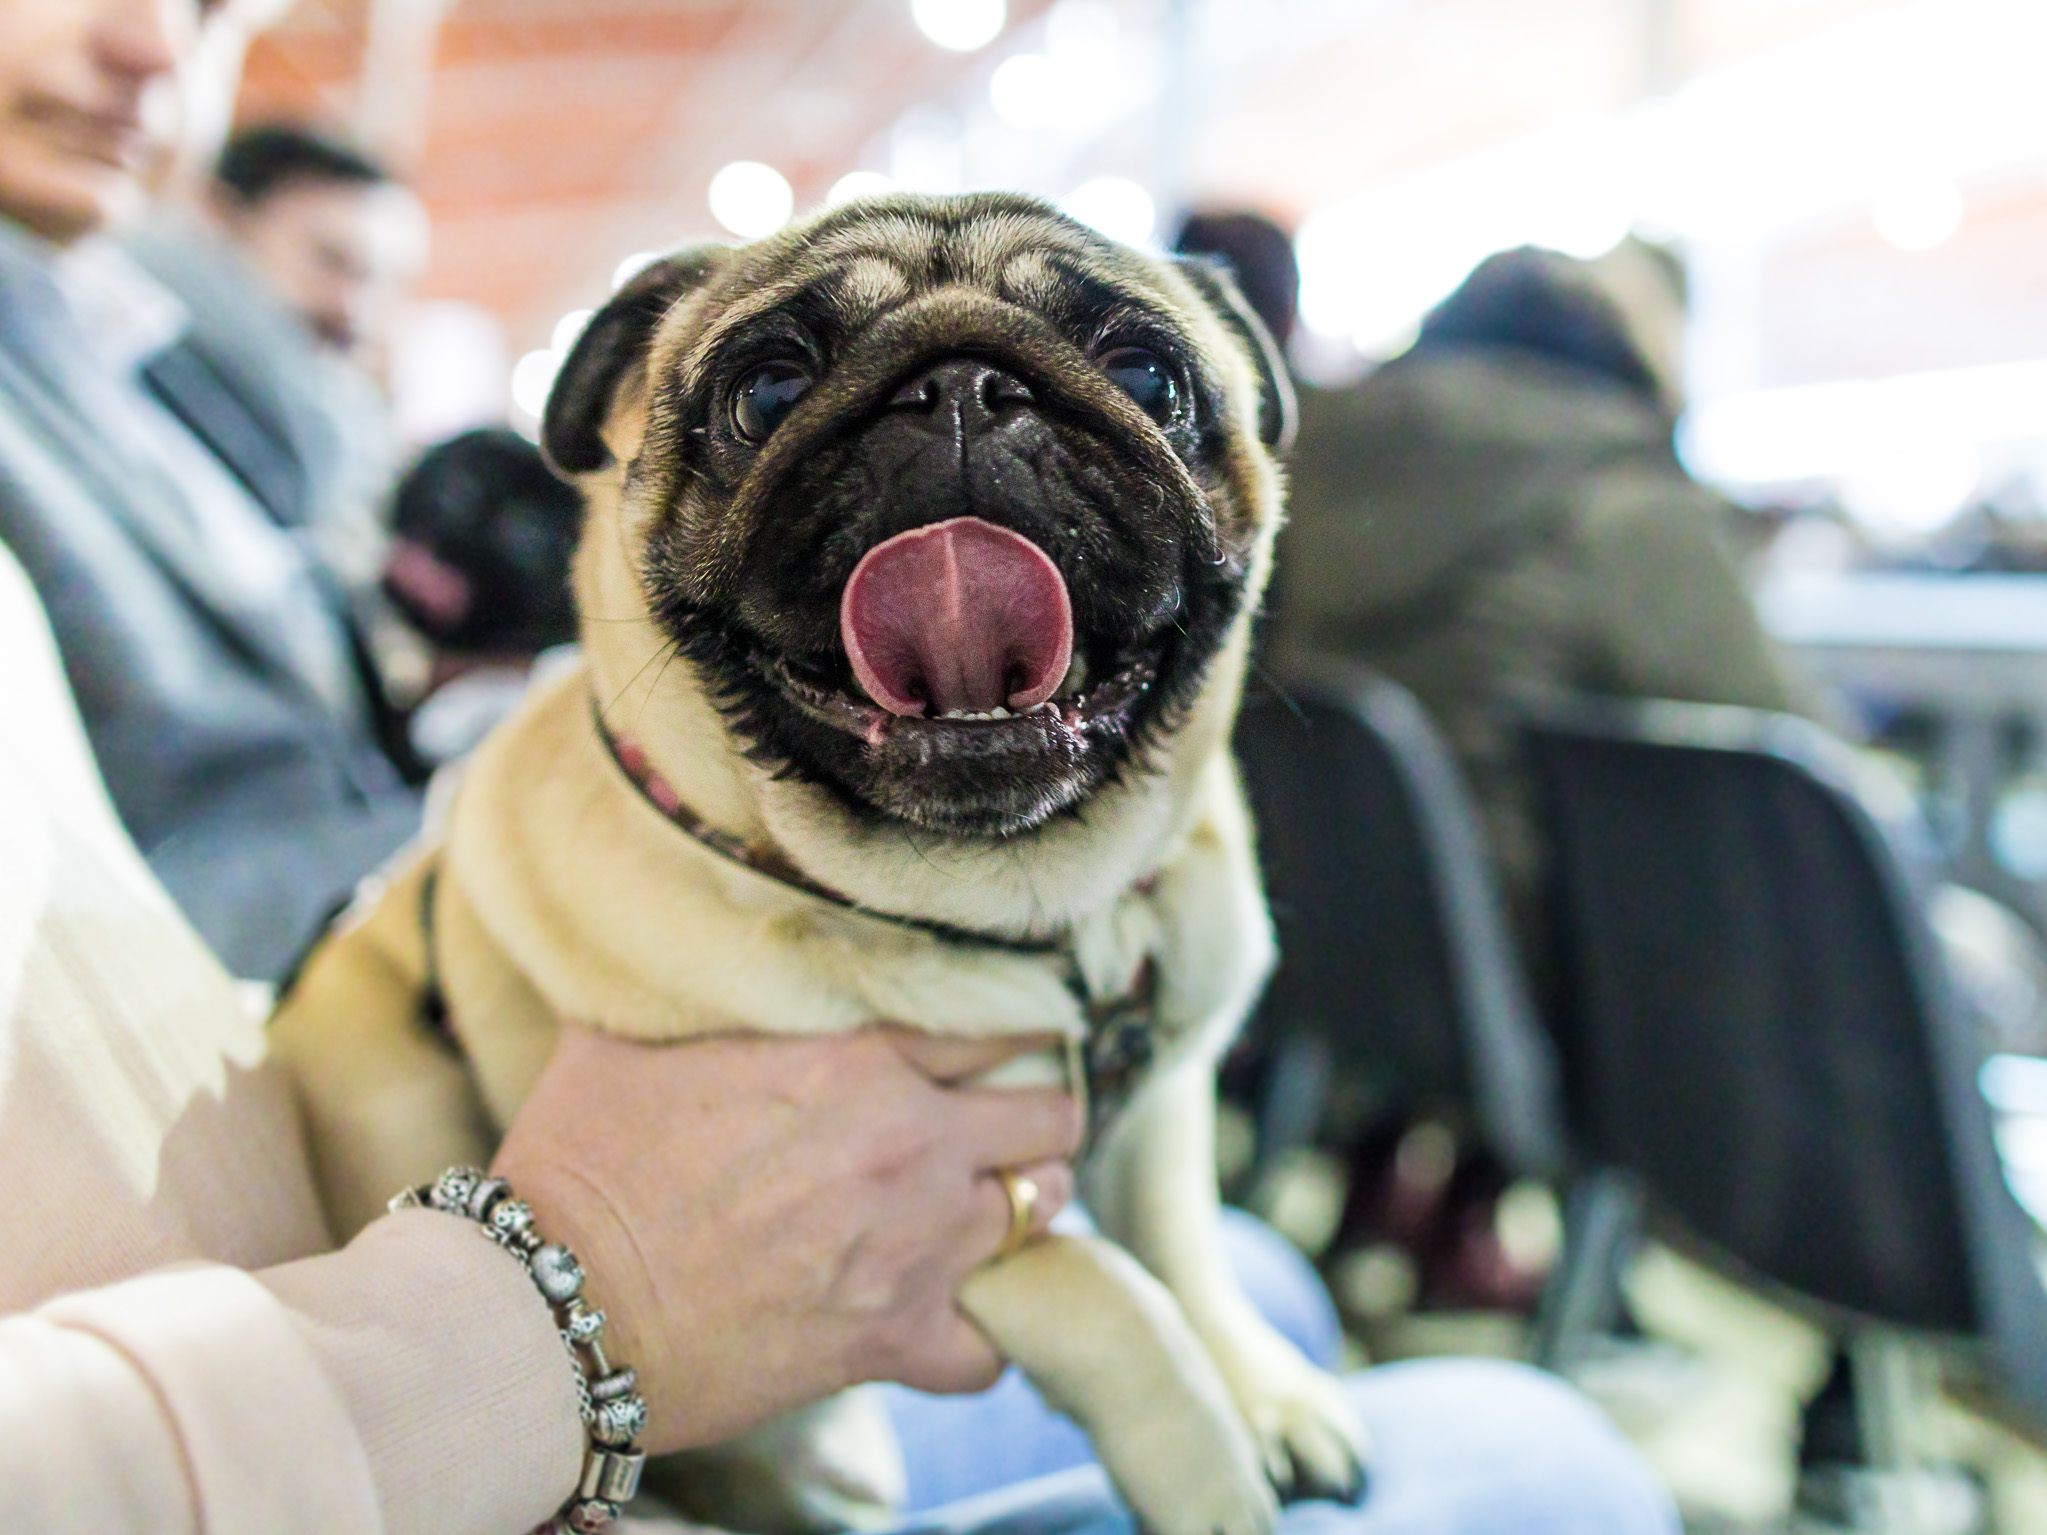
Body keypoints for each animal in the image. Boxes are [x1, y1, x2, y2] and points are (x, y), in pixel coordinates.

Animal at [268, 192, 1359, 1535]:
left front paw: (1266, 1393)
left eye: (1148, 375)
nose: (963, 387)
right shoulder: (930, 1223)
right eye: (769, 390)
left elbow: (1181, 1246)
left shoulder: (1156, 1104)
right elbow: (1110, 1293)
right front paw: (1210, 1466)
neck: (1032, 920)